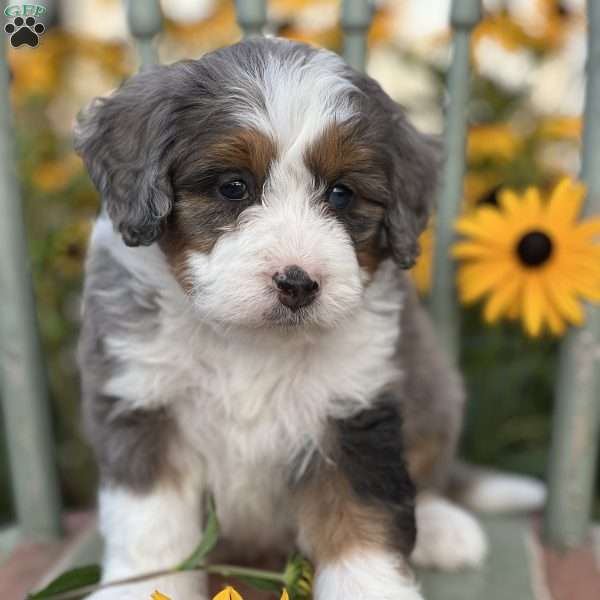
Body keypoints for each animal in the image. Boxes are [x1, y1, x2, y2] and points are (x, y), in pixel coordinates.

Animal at [76, 38, 544, 600]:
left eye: (341, 193)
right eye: (233, 187)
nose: (298, 284)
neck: (249, 341)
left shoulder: (351, 410)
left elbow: (361, 520)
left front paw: (372, 589)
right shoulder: (142, 404)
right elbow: (152, 530)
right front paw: (144, 588)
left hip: (433, 389)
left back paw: (442, 529)